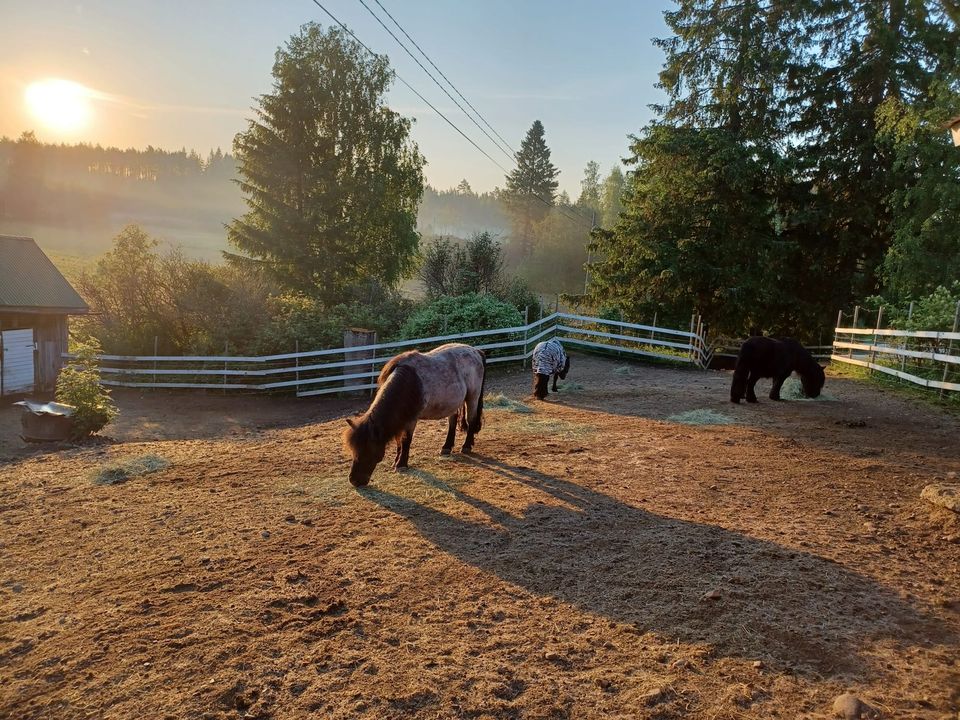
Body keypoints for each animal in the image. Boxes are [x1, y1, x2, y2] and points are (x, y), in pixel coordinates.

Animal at [344, 344, 488, 490]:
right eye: (354, 450)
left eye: (368, 450)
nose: (354, 480)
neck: (407, 382)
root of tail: (475, 351)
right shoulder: (401, 418)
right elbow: (399, 440)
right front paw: (396, 461)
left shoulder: (411, 419)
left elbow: (406, 440)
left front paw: (401, 464)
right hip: (453, 402)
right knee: (452, 423)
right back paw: (447, 447)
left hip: (472, 397)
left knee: (471, 420)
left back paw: (466, 446)